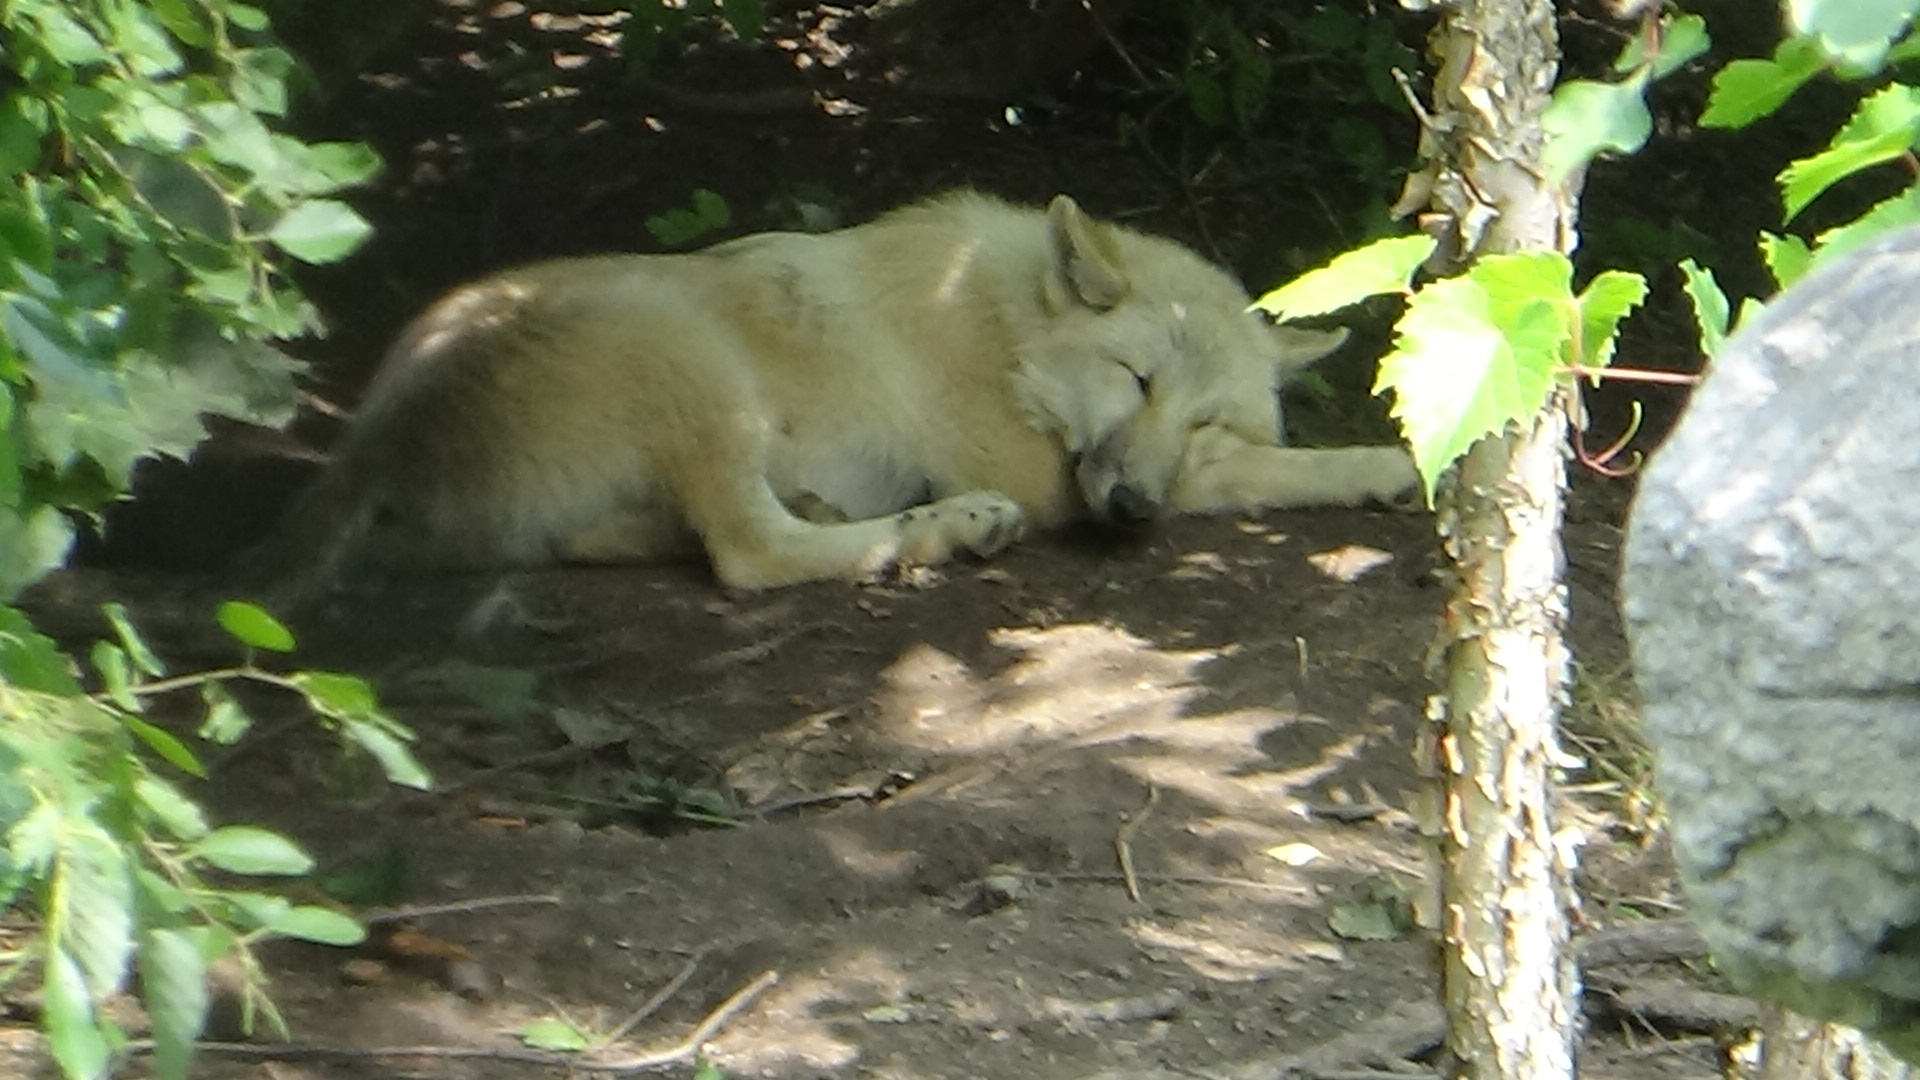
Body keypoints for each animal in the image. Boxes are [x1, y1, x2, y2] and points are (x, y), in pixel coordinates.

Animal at [265, 191, 1418, 591]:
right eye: (1135, 381)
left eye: (1203, 412)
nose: (1132, 511)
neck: (1004, 324)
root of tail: (365, 443)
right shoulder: (1051, 480)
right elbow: (1271, 471)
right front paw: (1397, 464)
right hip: (686, 347)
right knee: (749, 558)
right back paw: (939, 530)